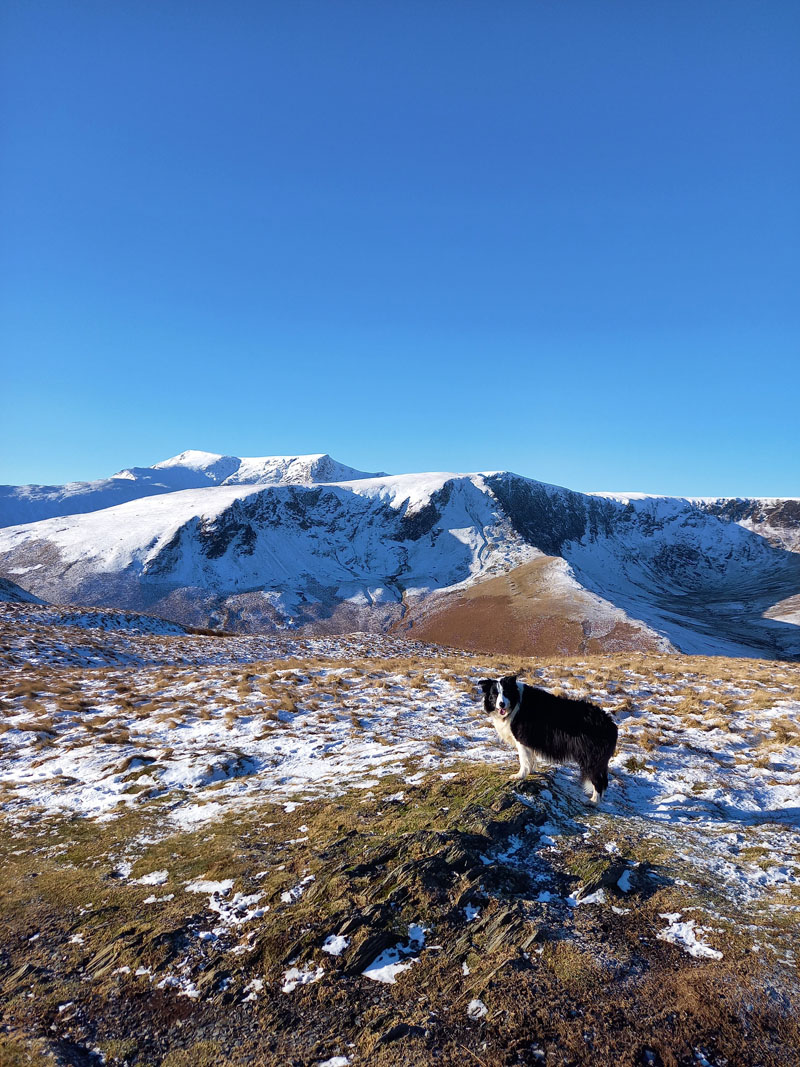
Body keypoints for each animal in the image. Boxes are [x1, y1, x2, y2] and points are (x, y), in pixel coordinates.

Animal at [482, 674, 618, 802]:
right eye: (494, 694)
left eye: (506, 692)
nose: (501, 704)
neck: (515, 703)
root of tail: (611, 724)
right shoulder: (529, 741)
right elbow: (531, 759)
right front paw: (531, 771)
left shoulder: (522, 741)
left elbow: (524, 760)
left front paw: (519, 775)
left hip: (590, 757)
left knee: (598, 781)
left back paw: (593, 801)